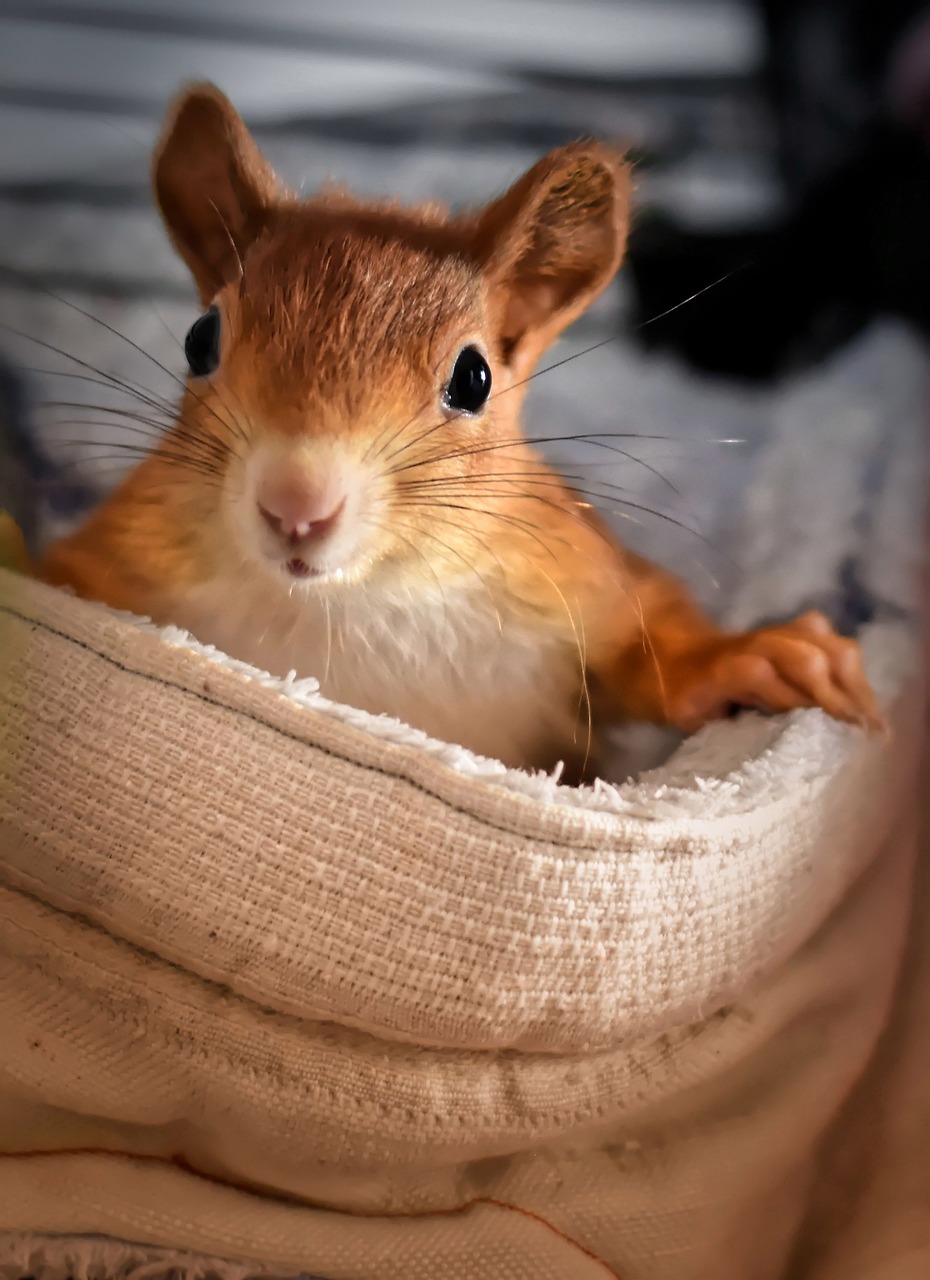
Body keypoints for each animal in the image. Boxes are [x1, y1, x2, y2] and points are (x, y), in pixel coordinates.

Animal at [36, 85, 880, 773]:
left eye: (473, 378)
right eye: (200, 340)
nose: (296, 505)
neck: (349, 602)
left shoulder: (573, 571)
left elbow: (650, 640)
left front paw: (751, 657)